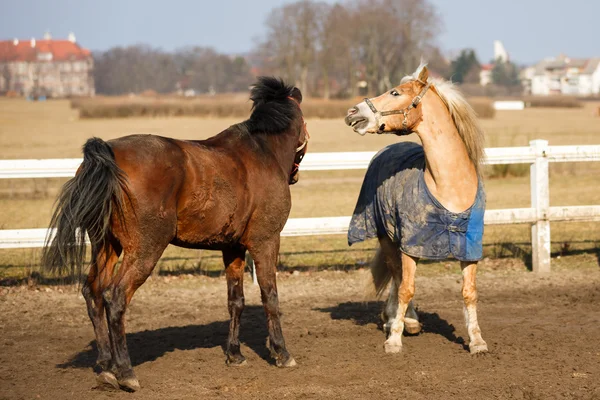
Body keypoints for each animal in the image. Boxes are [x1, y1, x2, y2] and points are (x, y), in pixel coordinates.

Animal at [42, 77, 308, 390]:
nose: (294, 174)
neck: (262, 153)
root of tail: (107, 153)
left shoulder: (232, 247)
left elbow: (236, 301)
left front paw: (234, 354)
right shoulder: (266, 241)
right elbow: (270, 296)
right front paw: (282, 352)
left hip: (107, 245)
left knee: (93, 292)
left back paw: (106, 367)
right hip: (144, 249)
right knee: (115, 297)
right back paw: (126, 372)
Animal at [344, 65, 490, 356]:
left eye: (395, 92)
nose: (353, 112)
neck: (449, 187)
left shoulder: (470, 248)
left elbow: (469, 292)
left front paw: (476, 340)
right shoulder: (410, 244)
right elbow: (405, 289)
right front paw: (393, 340)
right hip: (388, 239)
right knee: (398, 277)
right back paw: (402, 321)